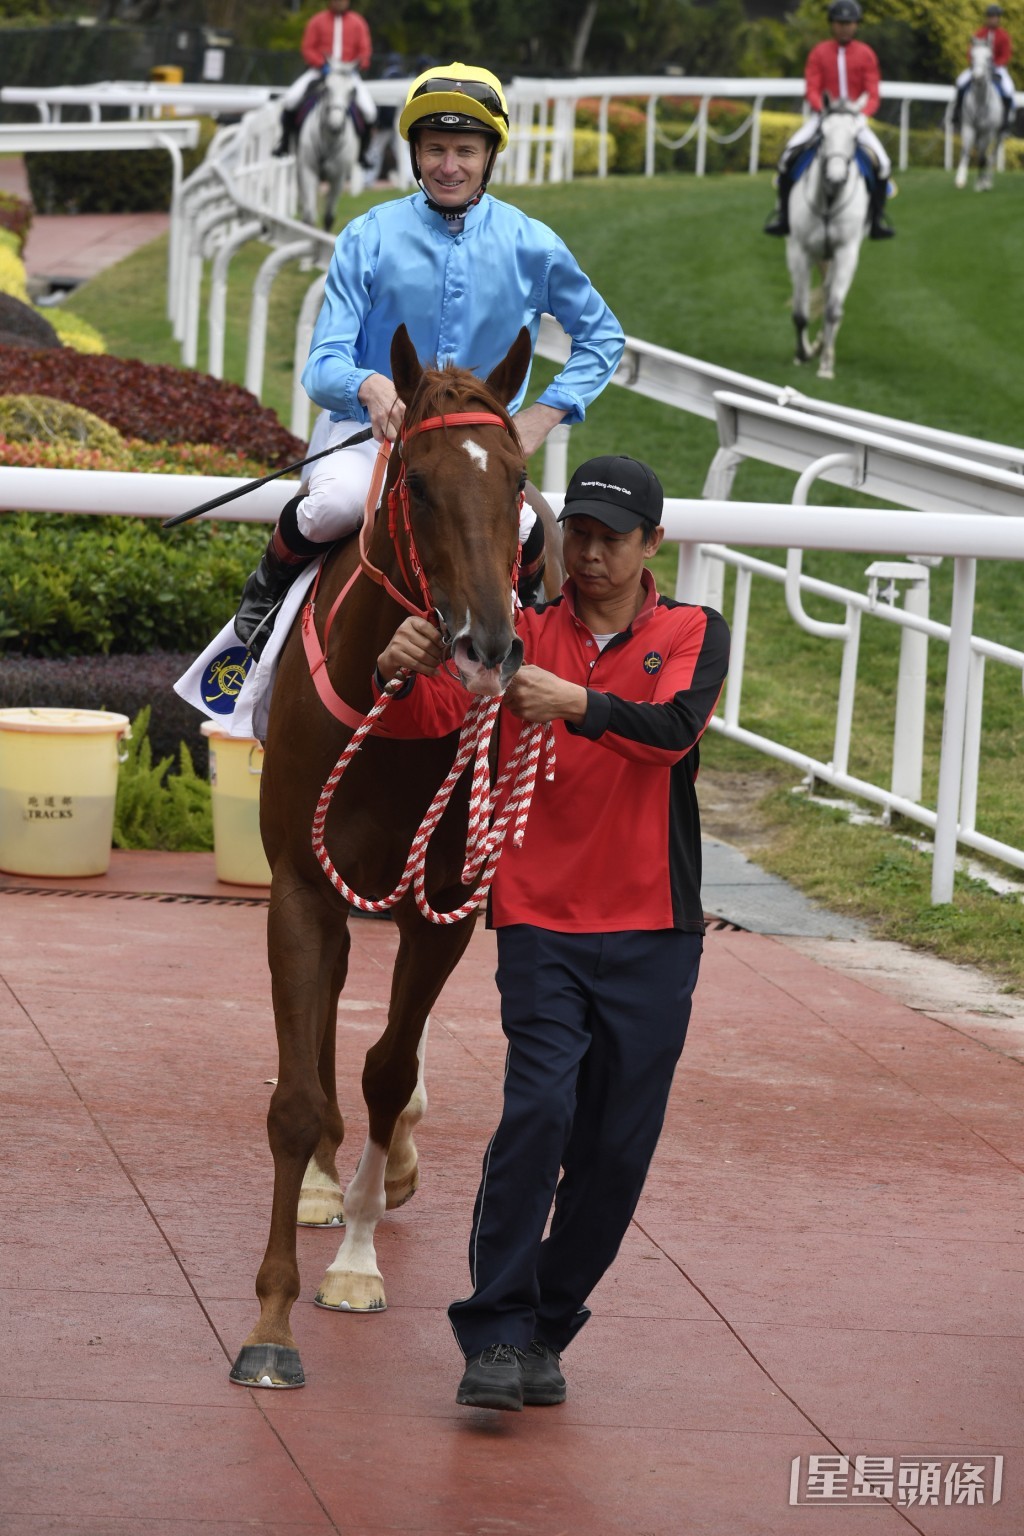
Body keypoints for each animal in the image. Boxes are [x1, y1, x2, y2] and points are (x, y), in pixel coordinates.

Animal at [230, 324, 537, 1394]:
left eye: (519, 481)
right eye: (420, 485)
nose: (487, 644)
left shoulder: (444, 908)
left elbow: (390, 1071)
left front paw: (357, 1262)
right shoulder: (299, 888)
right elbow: (295, 1096)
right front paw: (271, 1321)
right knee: (321, 1025)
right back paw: (325, 1181)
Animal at [296, 60, 360, 230]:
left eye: (352, 91)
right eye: (326, 89)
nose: (335, 126)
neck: (329, 141)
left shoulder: (338, 178)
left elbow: (329, 217)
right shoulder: (308, 172)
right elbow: (310, 216)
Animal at [792, 94, 872, 382]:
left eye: (855, 137)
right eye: (822, 134)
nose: (836, 178)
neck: (828, 201)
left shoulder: (846, 252)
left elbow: (833, 309)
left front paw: (826, 364)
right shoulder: (799, 250)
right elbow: (800, 312)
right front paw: (802, 353)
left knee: (831, 297)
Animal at [957, 40, 1007, 192]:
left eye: (989, 57)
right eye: (972, 56)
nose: (977, 78)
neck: (980, 102)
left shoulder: (987, 132)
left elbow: (982, 157)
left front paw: (981, 184)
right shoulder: (968, 127)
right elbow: (966, 151)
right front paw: (960, 179)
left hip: (999, 135)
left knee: (992, 155)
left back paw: (987, 181)